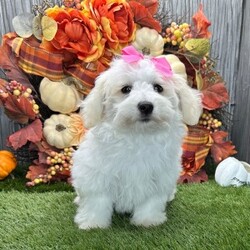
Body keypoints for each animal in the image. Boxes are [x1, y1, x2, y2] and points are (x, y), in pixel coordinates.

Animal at [71, 51, 203, 229]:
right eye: (126, 89)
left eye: (158, 88)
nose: (146, 106)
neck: (138, 135)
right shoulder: (97, 174)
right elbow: (97, 200)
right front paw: (93, 223)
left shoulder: (159, 177)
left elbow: (151, 201)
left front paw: (148, 221)